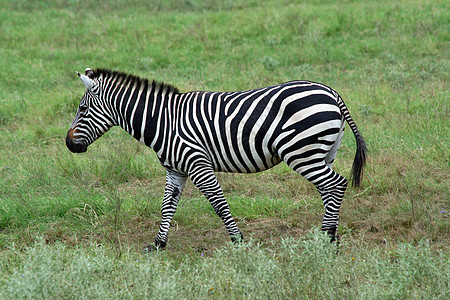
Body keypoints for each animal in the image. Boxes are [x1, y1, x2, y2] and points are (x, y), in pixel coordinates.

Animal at [67, 68, 370, 251]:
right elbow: (167, 207)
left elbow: (218, 203)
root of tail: (331, 92)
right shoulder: (175, 170)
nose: (69, 144)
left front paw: (237, 240)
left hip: (302, 153)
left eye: (82, 109)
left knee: (335, 185)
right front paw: (158, 244)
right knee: (328, 189)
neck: (163, 121)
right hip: (323, 152)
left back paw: (327, 238)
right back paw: (328, 235)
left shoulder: (197, 162)